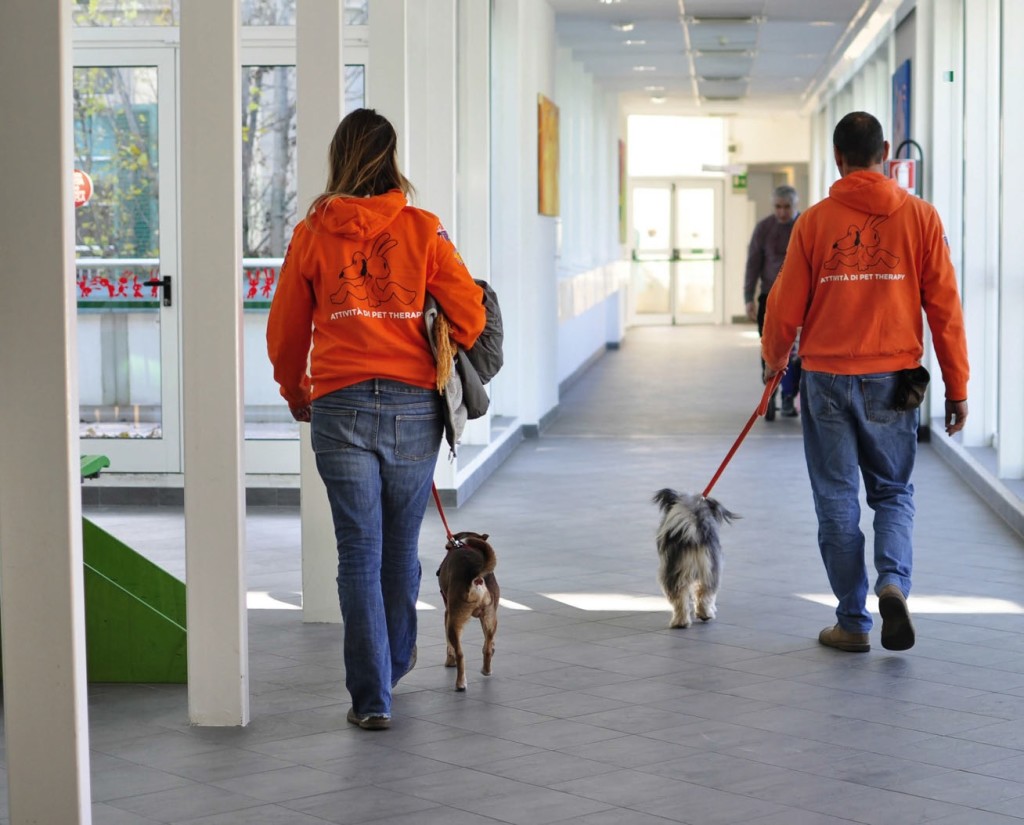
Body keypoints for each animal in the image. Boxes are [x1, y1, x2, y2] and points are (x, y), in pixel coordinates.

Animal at [434, 528, 497, 691]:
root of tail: (477, 578)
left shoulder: (447, 614)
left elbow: (449, 646)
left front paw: (450, 661)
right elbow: (488, 643)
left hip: (454, 621)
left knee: (460, 654)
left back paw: (460, 683)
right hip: (490, 617)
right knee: (487, 646)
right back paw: (486, 670)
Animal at [655, 487, 737, 630]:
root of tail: (693, 532)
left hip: (675, 571)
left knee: (680, 597)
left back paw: (681, 622)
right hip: (710, 570)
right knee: (704, 593)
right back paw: (704, 614)